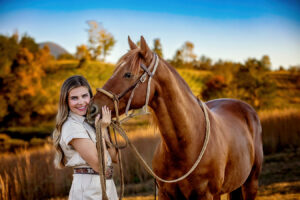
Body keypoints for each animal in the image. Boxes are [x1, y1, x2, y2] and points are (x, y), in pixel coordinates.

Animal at [86, 36, 262, 200]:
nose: (91, 108)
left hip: (250, 184)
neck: (187, 144)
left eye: (128, 74)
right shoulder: (165, 194)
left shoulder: (207, 195)